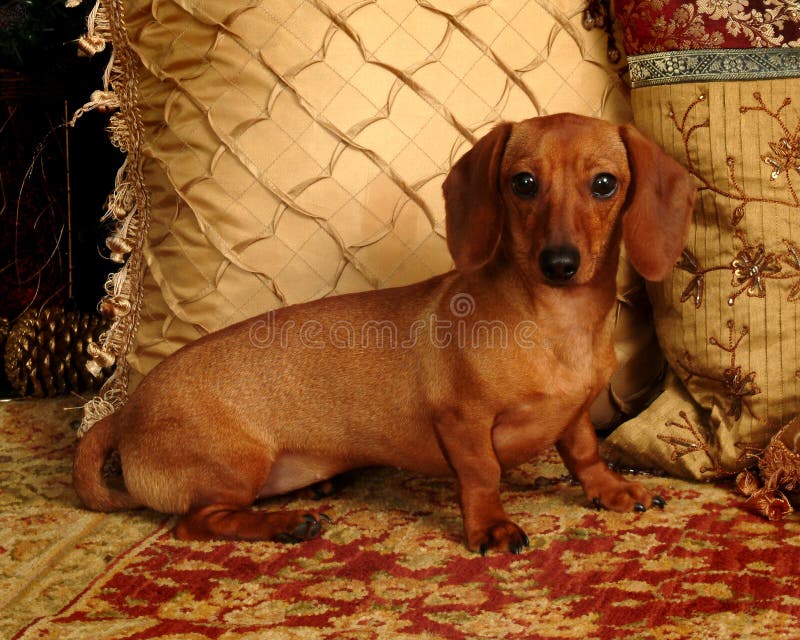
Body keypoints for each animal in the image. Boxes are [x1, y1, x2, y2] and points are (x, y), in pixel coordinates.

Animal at [73, 115, 692, 556]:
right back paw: (286, 523)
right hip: (235, 466)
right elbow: (483, 475)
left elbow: (584, 450)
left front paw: (610, 489)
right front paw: (490, 527)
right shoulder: (460, 421)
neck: (555, 322)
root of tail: (124, 414)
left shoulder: (577, 412)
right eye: (523, 183)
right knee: (196, 523)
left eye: (605, 184)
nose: (559, 263)